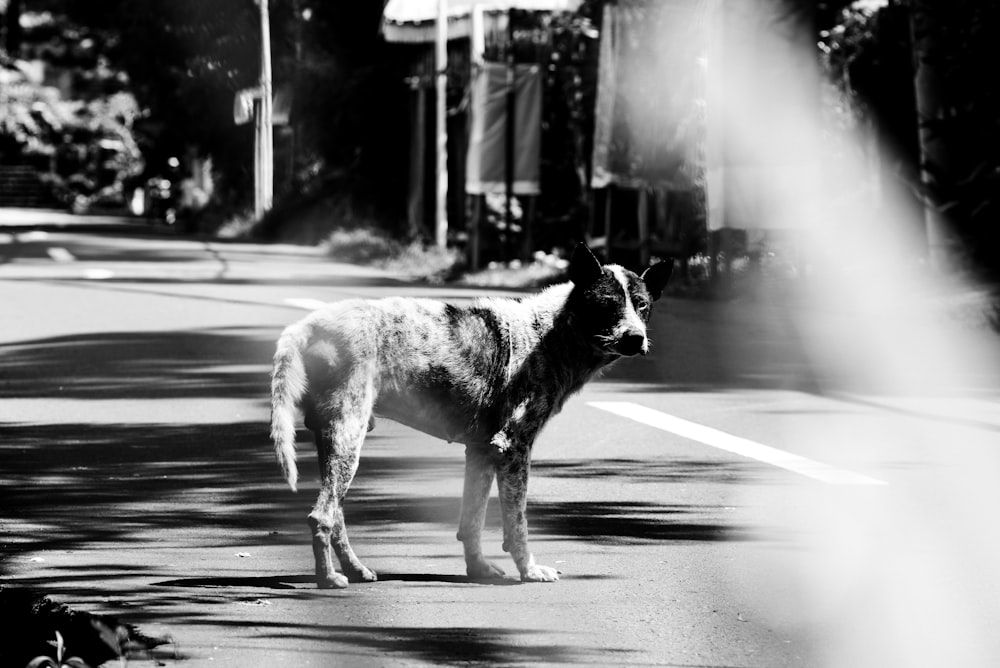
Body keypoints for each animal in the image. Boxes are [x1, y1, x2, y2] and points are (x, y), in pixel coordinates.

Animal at [270, 243, 672, 588]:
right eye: (606, 305)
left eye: (642, 306)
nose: (636, 338)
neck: (551, 333)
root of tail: (311, 324)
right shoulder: (513, 451)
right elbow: (517, 526)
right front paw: (528, 571)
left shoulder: (480, 453)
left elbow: (472, 522)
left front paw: (478, 569)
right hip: (348, 441)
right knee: (322, 516)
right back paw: (329, 579)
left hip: (338, 446)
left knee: (336, 516)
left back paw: (355, 570)